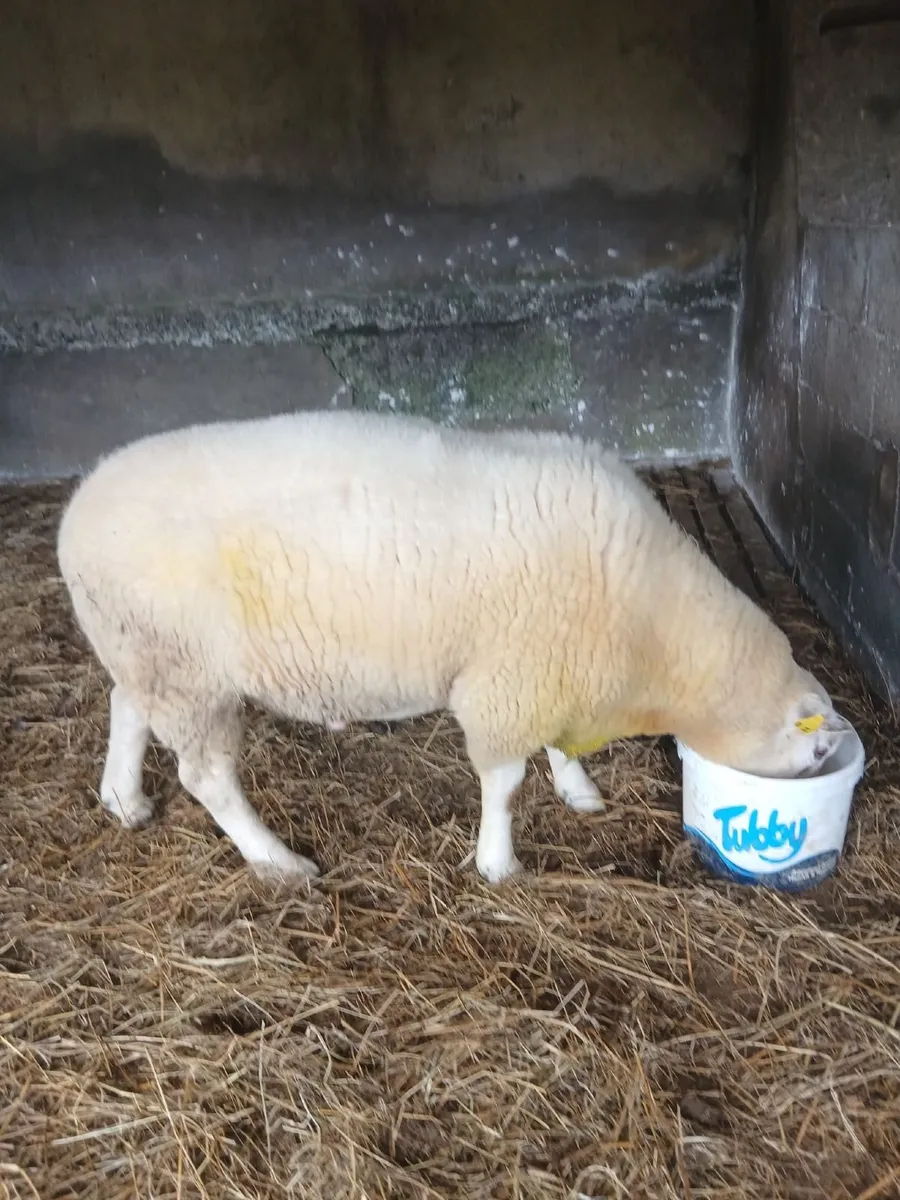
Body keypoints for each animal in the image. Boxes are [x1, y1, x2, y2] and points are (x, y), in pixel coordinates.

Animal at [56, 409, 853, 885]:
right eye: (814, 753)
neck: (657, 634)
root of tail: (75, 514)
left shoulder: (553, 669)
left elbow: (557, 748)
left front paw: (578, 789)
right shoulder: (508, 679)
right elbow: (504, 782)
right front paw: (498, 863)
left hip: (149, 653)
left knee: (126, 705)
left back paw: (123, 799)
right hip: (186, 671)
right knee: (208, 777)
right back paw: (277, 860)